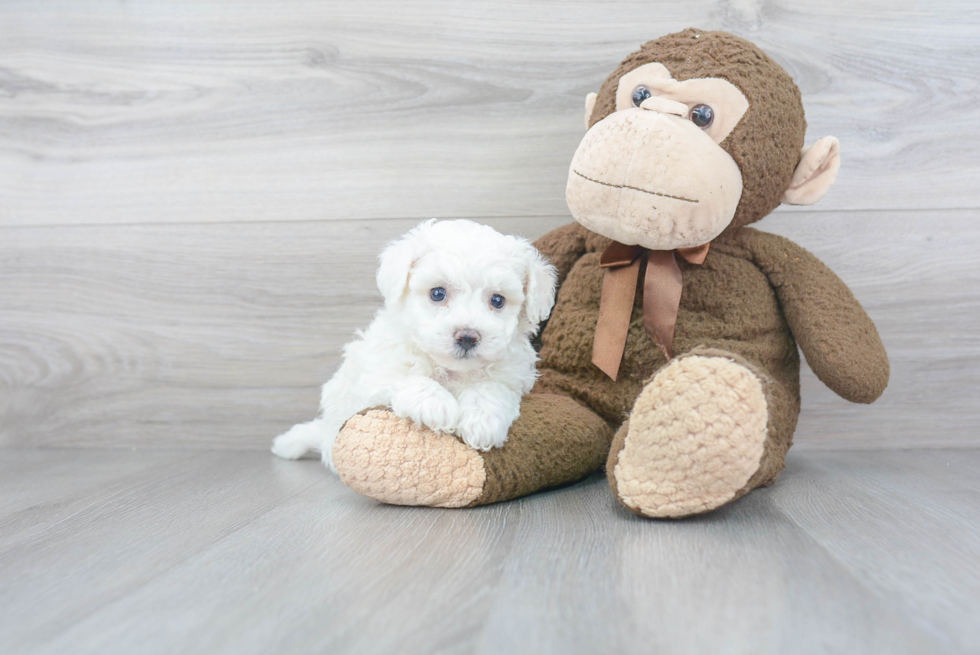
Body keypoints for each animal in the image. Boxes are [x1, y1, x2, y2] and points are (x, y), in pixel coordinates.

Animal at [272, 220, 556, 472]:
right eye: (437, 293)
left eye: (497, 300)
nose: (467, 337)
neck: (451, 370)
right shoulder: (375, 375)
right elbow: (407, 378)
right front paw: (435, 404)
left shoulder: (512, 378)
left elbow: (491, 388)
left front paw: (482, 419)